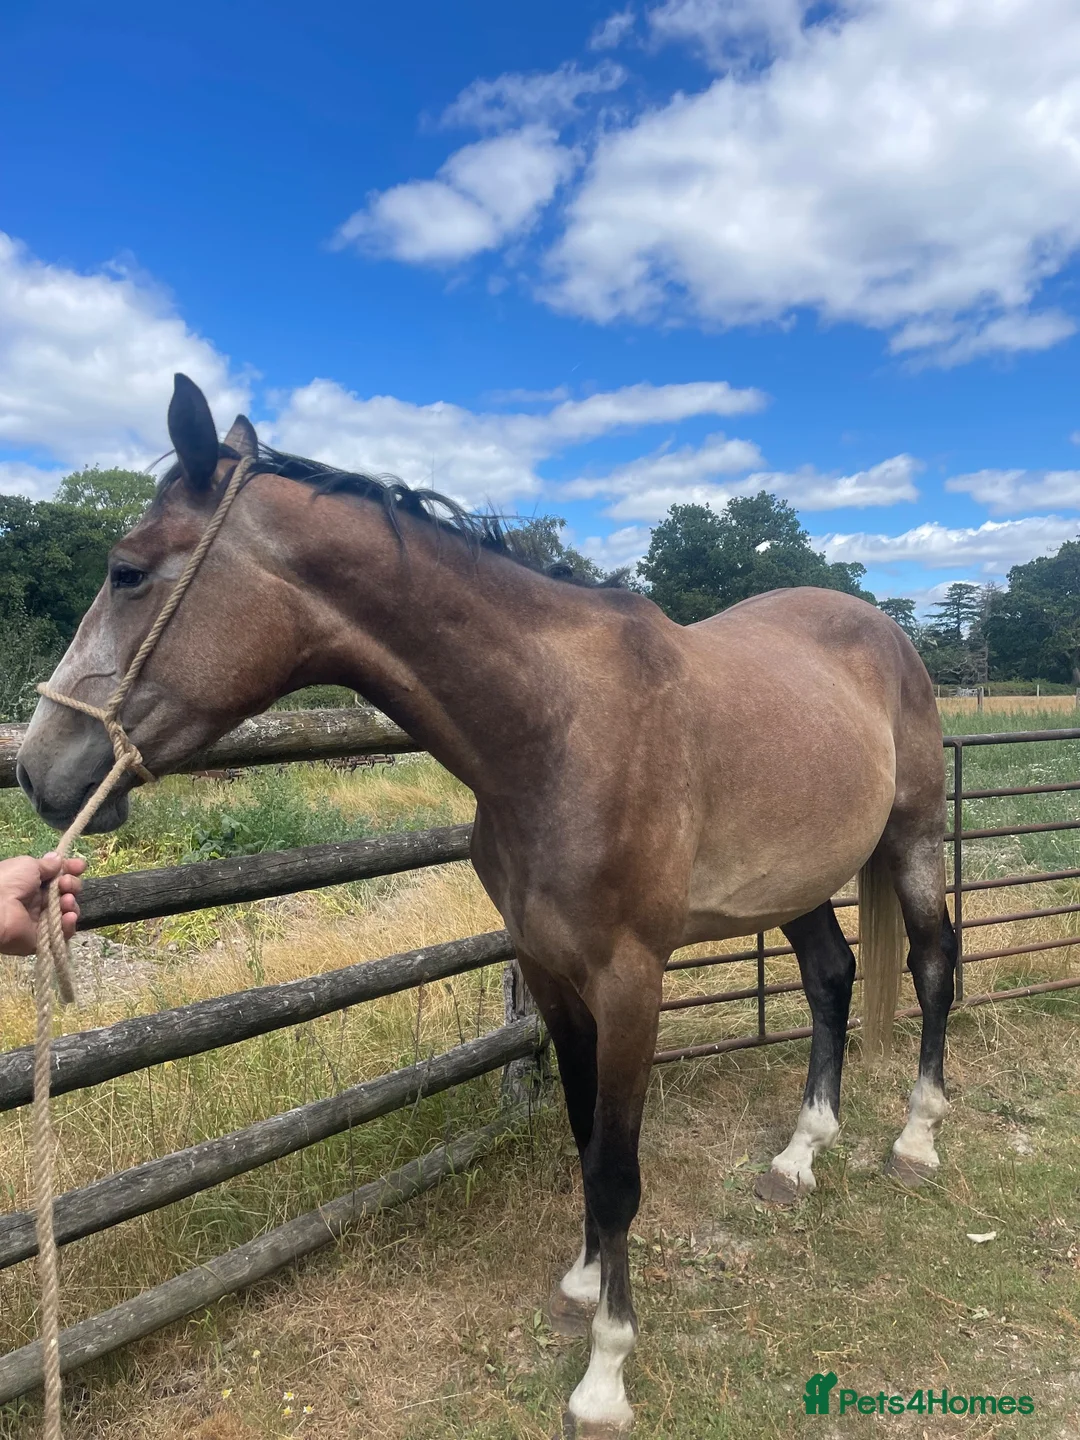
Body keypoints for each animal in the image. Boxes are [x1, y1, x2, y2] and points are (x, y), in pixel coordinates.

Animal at [17, 374, 955, 1436]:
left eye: (128, 572)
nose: (39, 767)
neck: (556, 729)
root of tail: (885, 630)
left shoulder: (630, 981)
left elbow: (618, 1170)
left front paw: (605, 1374)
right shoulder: (549, 970)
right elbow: (584, 1134)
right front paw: (584, 1283)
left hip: (913, 840)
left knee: (931, 967)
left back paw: (917, 1138)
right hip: (795, 877)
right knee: (832, 978)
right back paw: (801, 1156)